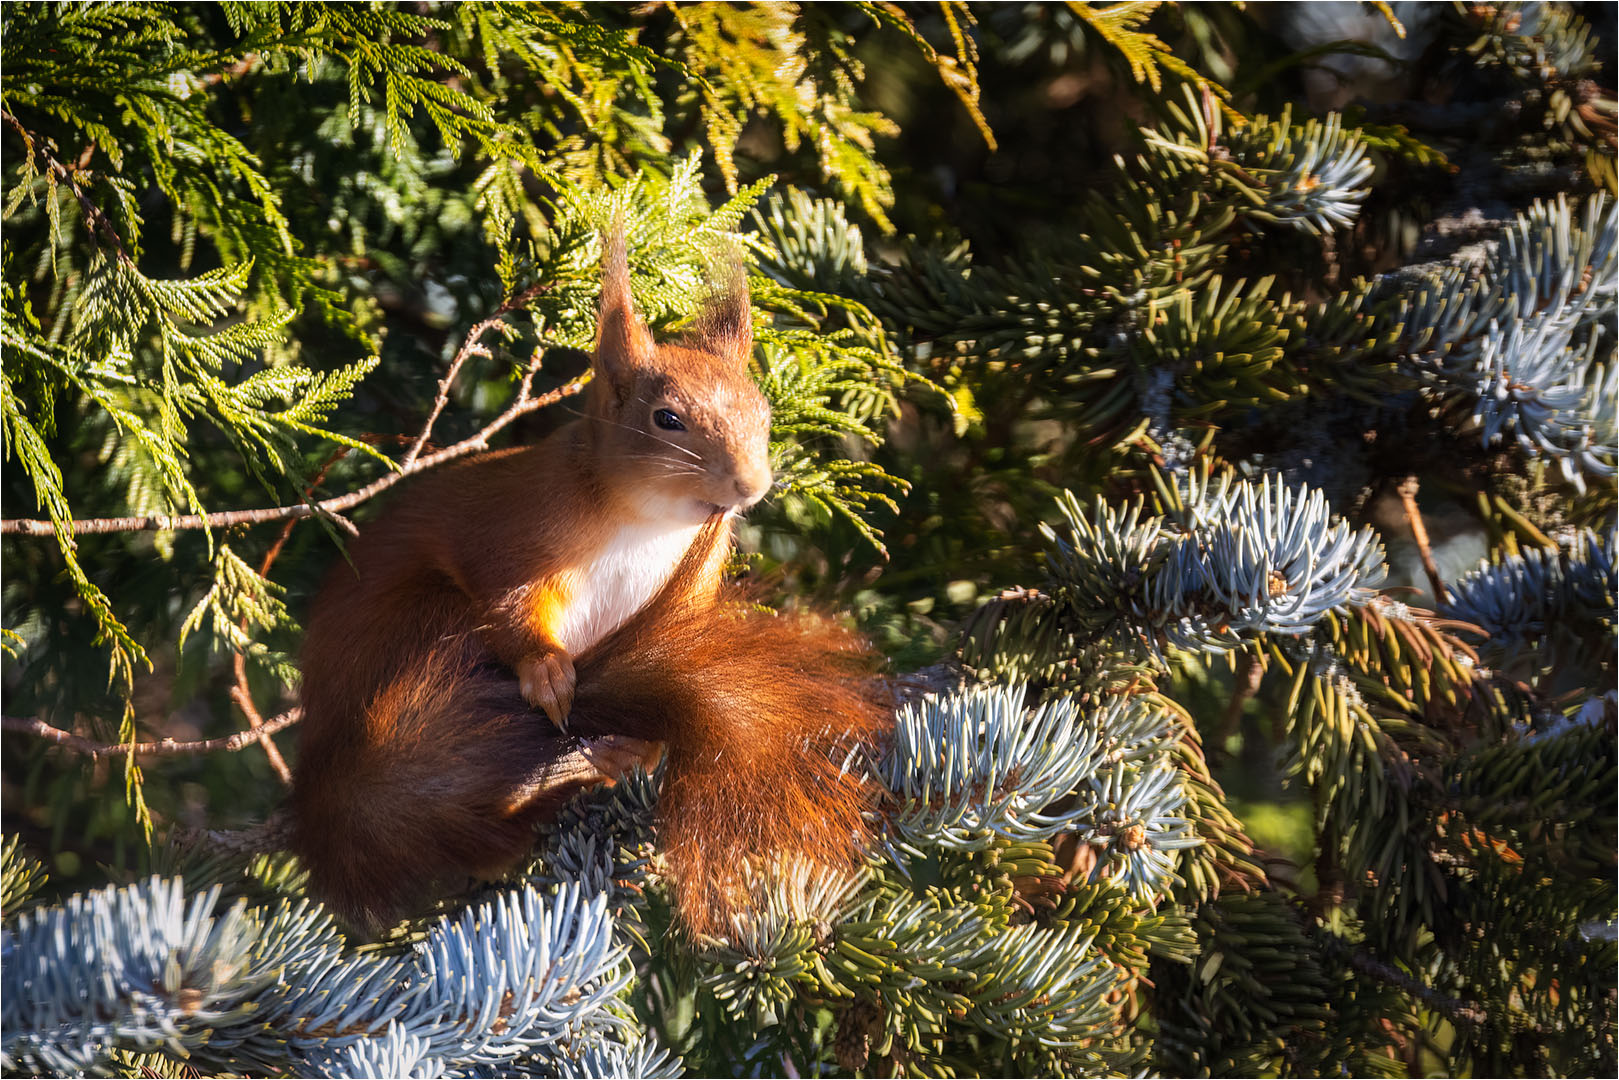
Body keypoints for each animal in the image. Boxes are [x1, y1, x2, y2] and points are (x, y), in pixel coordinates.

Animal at [291, 241, 887, 932]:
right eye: (666, 419)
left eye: (763, 415)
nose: (751, 485)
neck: (643, 526)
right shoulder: (514, 537)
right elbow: (511, 605)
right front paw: (547, 672)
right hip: (418, 625)